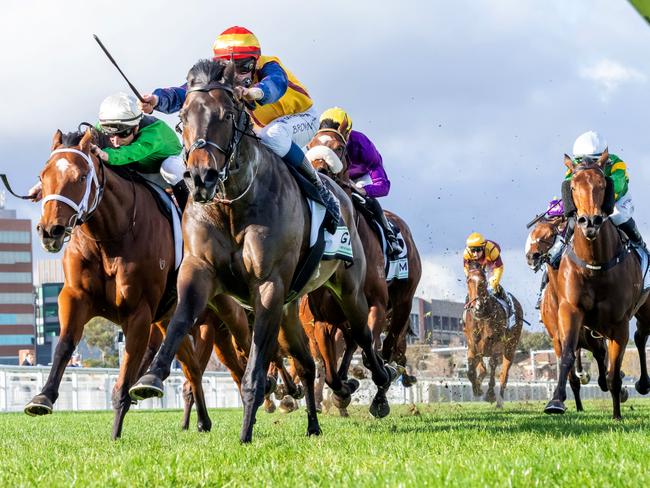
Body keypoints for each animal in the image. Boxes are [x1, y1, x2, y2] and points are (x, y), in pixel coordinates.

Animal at [27, 127, 248, 440]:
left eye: (81, 177)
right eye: (43, 176)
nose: (50, 231)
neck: (109, 236)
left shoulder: (139, 312)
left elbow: (125, 376)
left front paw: (115, 434)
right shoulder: (75, 297)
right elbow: (65, 344)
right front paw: (43, 397)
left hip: (227, 312)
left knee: (244, 357)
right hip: (175, 319)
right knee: (193, 368)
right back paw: (202, 420)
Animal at [129, 60, 388, 442]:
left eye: (226, 114)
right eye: (183, 119)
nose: (200, 177)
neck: (232, 203)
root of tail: (341, 191)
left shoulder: (268, 285)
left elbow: (254, 369)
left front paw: (246, 433)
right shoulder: (199, 270)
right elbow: (179, 321)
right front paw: (149, 378)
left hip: (348, 287)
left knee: (363, 334)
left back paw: (379, 384)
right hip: (291, 308)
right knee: (306, 362)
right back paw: (315, 423)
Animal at [302, 122, 420, 416]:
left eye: (339, 147)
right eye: (310, 145)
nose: (318, 171)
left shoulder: (376, 302)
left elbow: (369, 347)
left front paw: (382, 381)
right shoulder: (323, 319)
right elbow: (330, 370)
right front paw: (343, 389)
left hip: (403, 304)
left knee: (386, 346)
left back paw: (381, 391)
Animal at [460, 262, 520, 406]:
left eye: (484, 281)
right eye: (469, 280)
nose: (477, 307)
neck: (481, 317)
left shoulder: (494, 343)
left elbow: (492, 365)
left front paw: (489, 394)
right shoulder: (472, 346)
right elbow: (471, 370)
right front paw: (477, 389)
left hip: (509, 348)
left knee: (503, 373)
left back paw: (499, 400)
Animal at [520, 215, 608, 410]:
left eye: (550, 234)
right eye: (532, 234)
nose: (531, 256)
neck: (557, 296)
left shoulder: (588, 334)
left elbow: (600, 356)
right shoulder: (557, 338)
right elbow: (570, 373)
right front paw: (568, 404)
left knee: (601, 354)